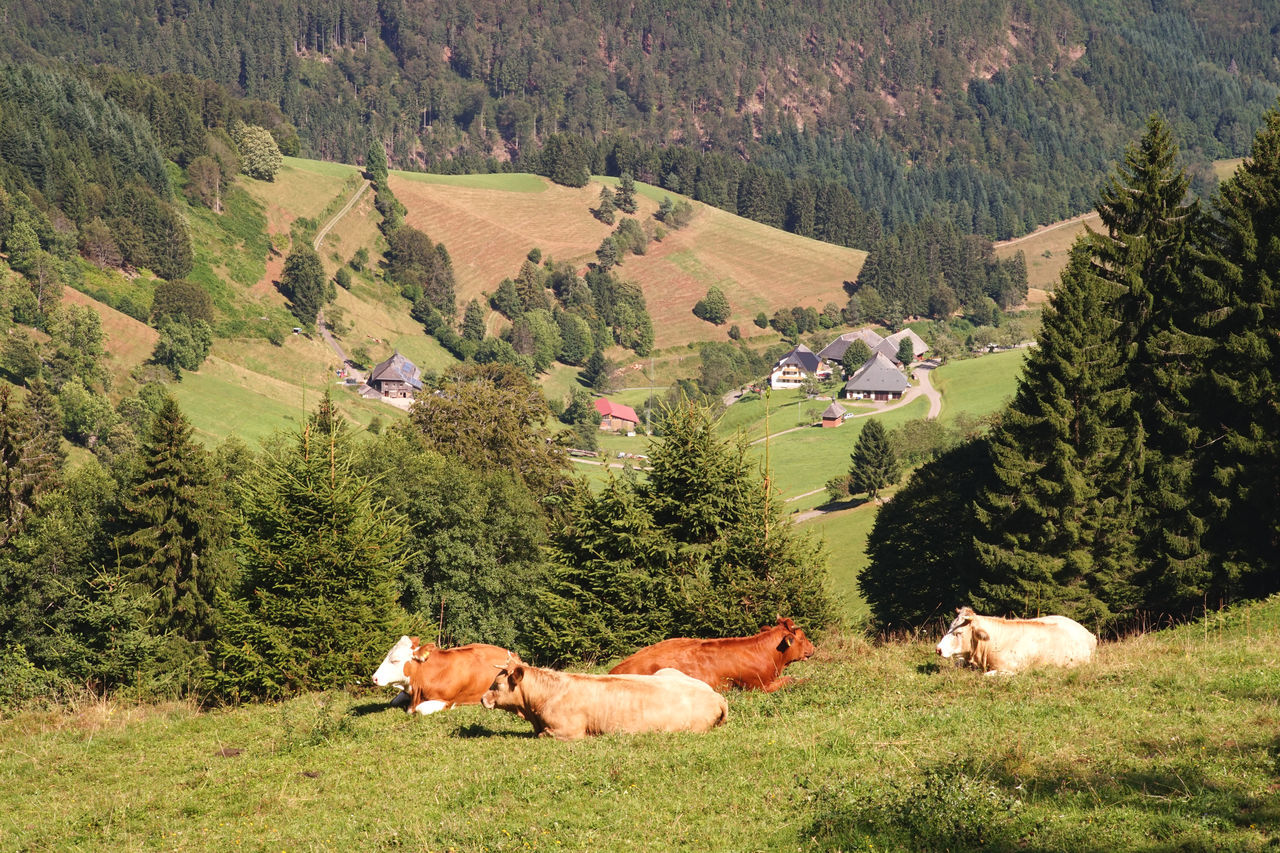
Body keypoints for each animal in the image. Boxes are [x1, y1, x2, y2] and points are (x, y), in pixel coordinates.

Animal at [935, 607, 1097, 675]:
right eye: (950, 627)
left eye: (958, 633)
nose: (938, 649)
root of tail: (1089, 634)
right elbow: (958, 663)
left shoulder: (1010, 669)